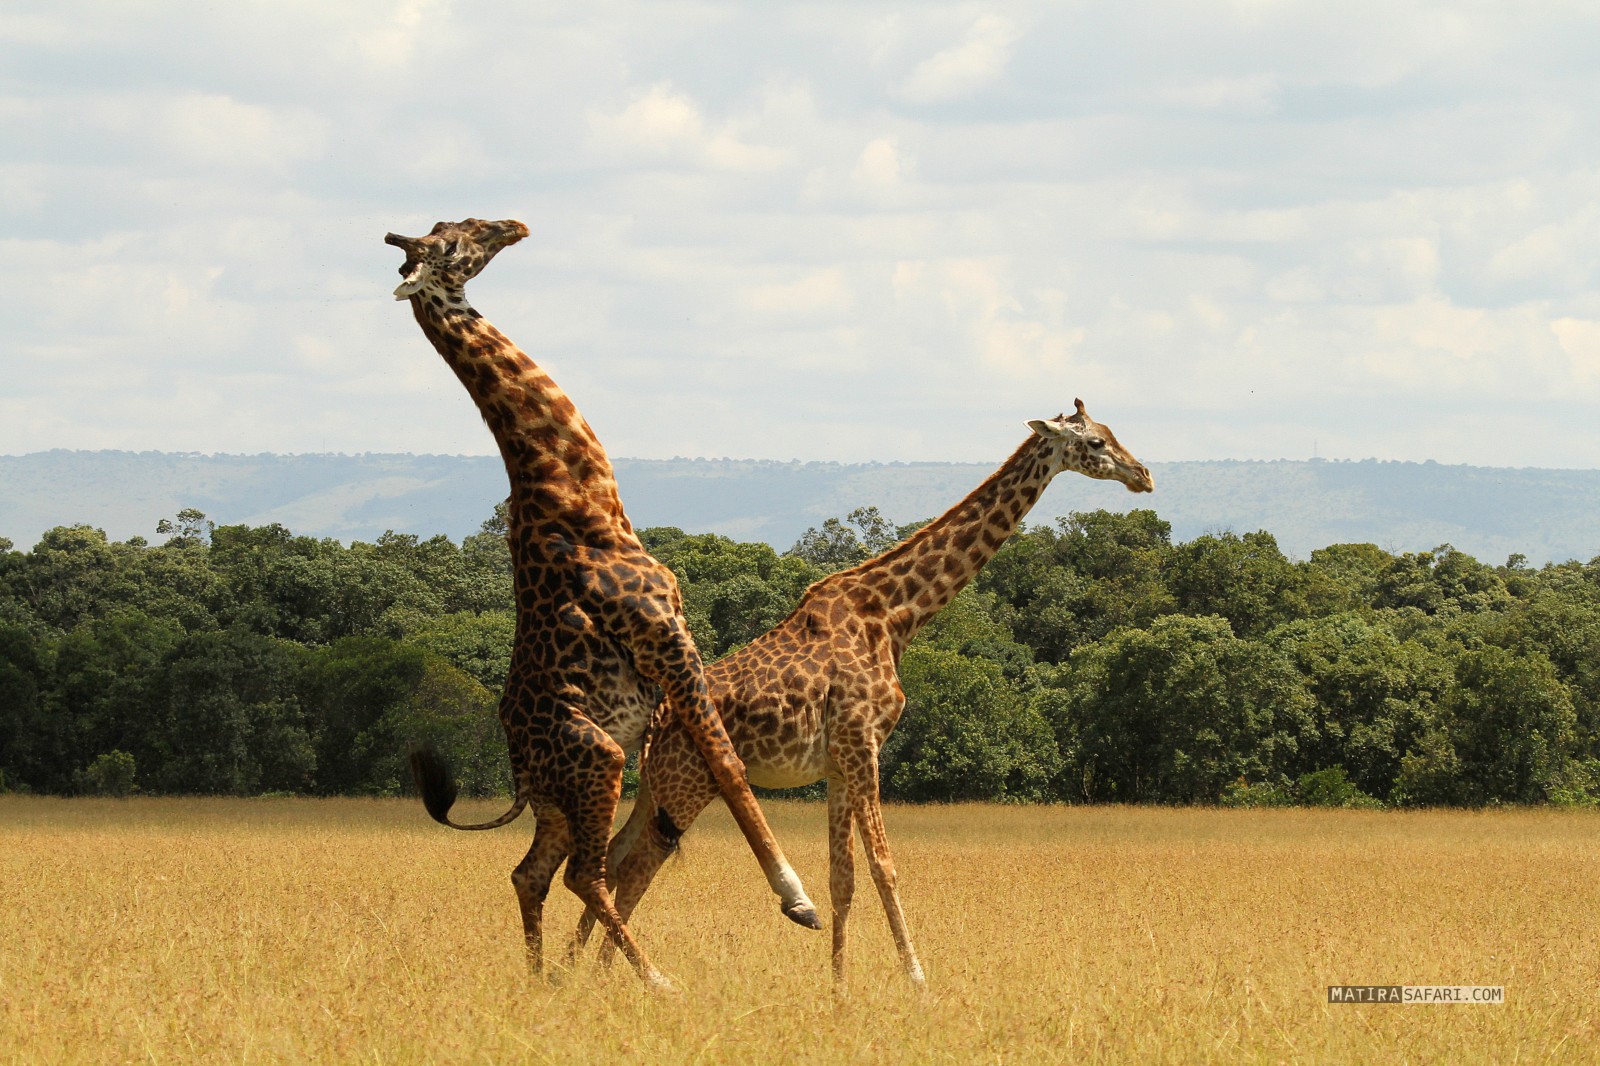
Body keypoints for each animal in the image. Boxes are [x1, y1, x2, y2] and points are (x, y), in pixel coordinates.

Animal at [385, 218, 818, 990]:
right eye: (455, 244)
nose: (513, 224)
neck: (583, 502)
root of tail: (521, 766)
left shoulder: (669, 662)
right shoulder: (670, 640)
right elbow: (729, 765)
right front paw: (798, 900)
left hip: (566, 791)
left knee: (530, 872)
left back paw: (541, 983)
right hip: (597, 758)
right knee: (579, 875)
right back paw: (657, 979)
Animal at [578, 401, 1152, 989]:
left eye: (1111, 434)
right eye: (1096, 443)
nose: (1144, 476)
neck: (894, 616)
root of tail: (656, 722)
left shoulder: (837, 762)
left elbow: (843, 878)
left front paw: (840, 987)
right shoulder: (862, 744)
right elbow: (884, 865)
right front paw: (918, 981)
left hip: (656, 787)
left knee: (613, 857)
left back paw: (572, 970)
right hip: (688, 783)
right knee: (635, 867)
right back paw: (621, 979)